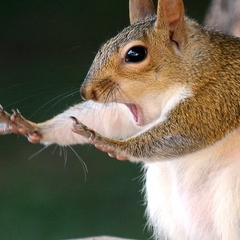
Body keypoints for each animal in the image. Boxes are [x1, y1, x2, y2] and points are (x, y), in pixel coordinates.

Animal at [0, 0, 240, 239]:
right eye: (103, 46)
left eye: (135, 54)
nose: (86, 92)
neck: (200, 65)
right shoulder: (126, 111)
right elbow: (107, 117)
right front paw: (31, 127)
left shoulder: (217, 96)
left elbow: (188, 131)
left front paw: (111, 144)